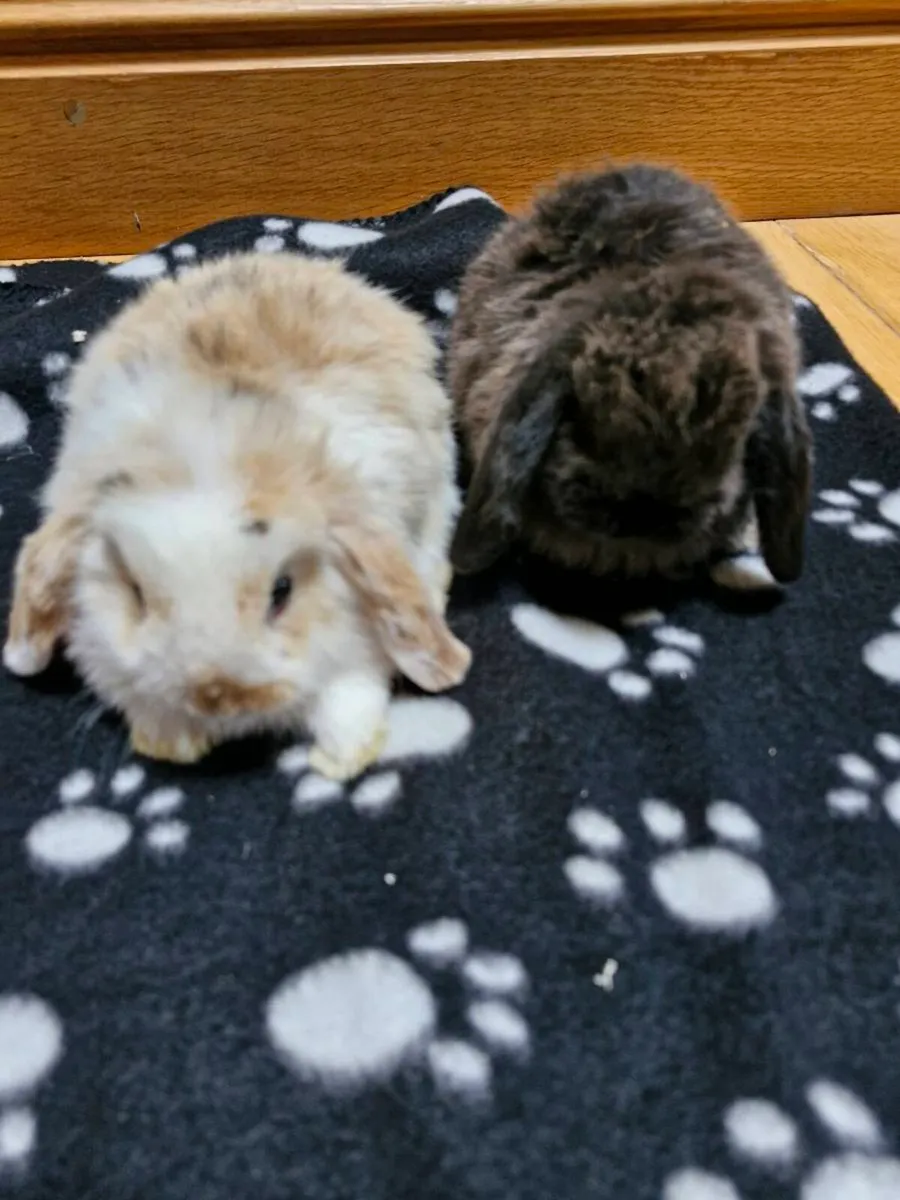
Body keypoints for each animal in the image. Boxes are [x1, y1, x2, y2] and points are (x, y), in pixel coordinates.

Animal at [3, 252, 470, 779]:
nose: (218, 696)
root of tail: (276, 259)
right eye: (136, 593)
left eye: (282, 591)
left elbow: (349, 701)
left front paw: (339, 761)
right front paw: (170, 742)